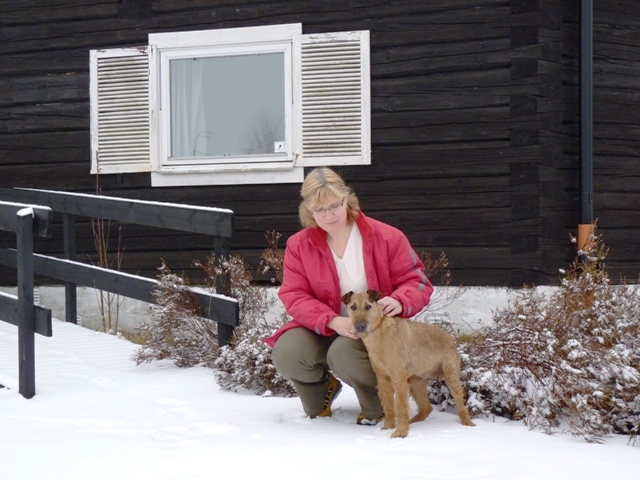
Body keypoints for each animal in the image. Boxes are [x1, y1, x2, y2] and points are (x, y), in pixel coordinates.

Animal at [342, 290, 475, 438]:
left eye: (368, 306)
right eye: (353, 307)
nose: (360, 326)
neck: (379, 334)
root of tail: (450, 338)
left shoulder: (398, 377)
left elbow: (400, 406)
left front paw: (400, 432)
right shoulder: (383, 379)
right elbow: (388, 404)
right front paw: (387, 427)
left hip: (451, 377)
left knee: (461, 404)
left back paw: (468, 424)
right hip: (416, 383)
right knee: (426, 408)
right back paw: (413, 422)